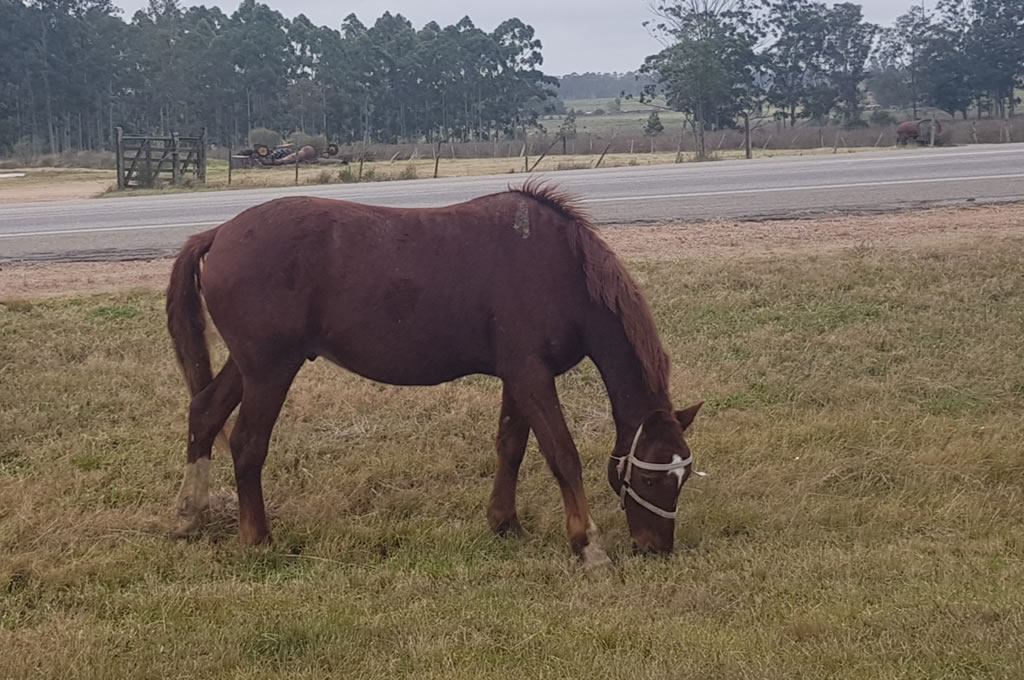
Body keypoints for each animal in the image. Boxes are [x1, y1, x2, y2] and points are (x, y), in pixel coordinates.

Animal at [165, 181, 702, 566]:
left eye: (683, 477)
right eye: (650, 478)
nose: (656, 548)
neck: (559, 266)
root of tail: (218, 234)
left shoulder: (517, 376)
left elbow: (511, 445)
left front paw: (504, 522)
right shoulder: (532, 376)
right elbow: (562, 455)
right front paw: (588, 546)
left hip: (251, 365)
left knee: (204, 413)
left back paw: (190, 516)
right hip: (270, 369)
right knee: (246, 443)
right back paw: (257, 537)